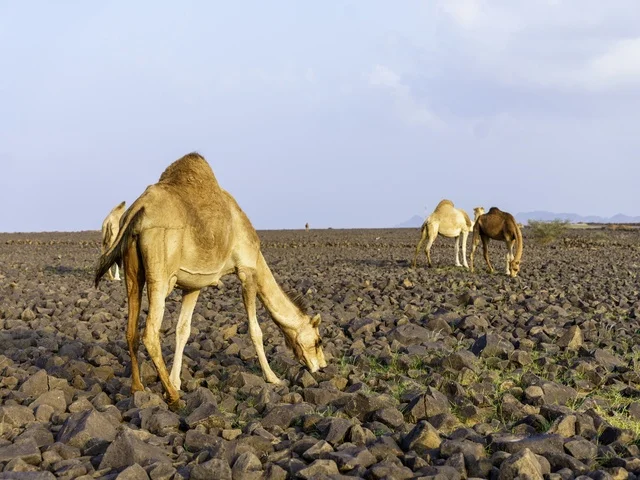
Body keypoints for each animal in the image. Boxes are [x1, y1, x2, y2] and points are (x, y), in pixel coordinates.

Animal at [95, 152, 326, 409]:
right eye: (318, 341)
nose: (321, 366)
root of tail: (137, 209)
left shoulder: (193, 284)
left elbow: (183, 330)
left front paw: (176, 381)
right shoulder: (246, 270)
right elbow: (255, 330)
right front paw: (273, 378)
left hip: (133, 271)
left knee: (131, 328)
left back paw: (138, 388)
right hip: (160, 271)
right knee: (150, 333)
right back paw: (173, 398)